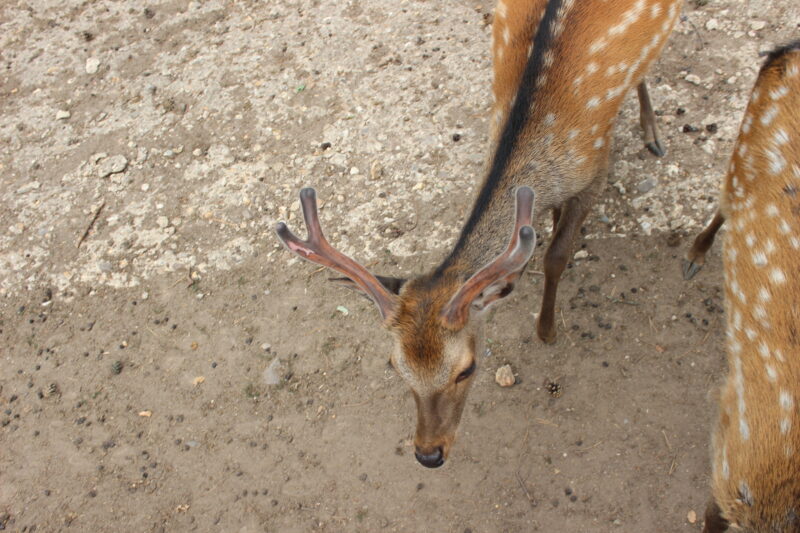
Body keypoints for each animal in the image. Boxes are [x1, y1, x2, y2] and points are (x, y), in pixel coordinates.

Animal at [278, 0, 684, 466]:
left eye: (467, 369)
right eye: (395, 366)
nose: (428, 454)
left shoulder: (597, 167)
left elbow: (556, 255)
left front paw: (546, 330)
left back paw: (653, 133)